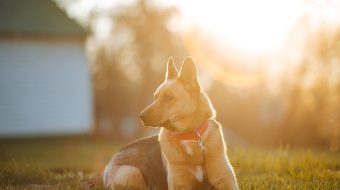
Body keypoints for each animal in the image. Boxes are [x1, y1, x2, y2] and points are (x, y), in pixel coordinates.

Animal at [103, 57, 239, 189]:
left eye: (168, 98)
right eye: (155, 97)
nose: (141, 116)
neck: (190, 136)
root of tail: (109, 163)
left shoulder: (226, 181)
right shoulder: (179, 184)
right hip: (131, 173)